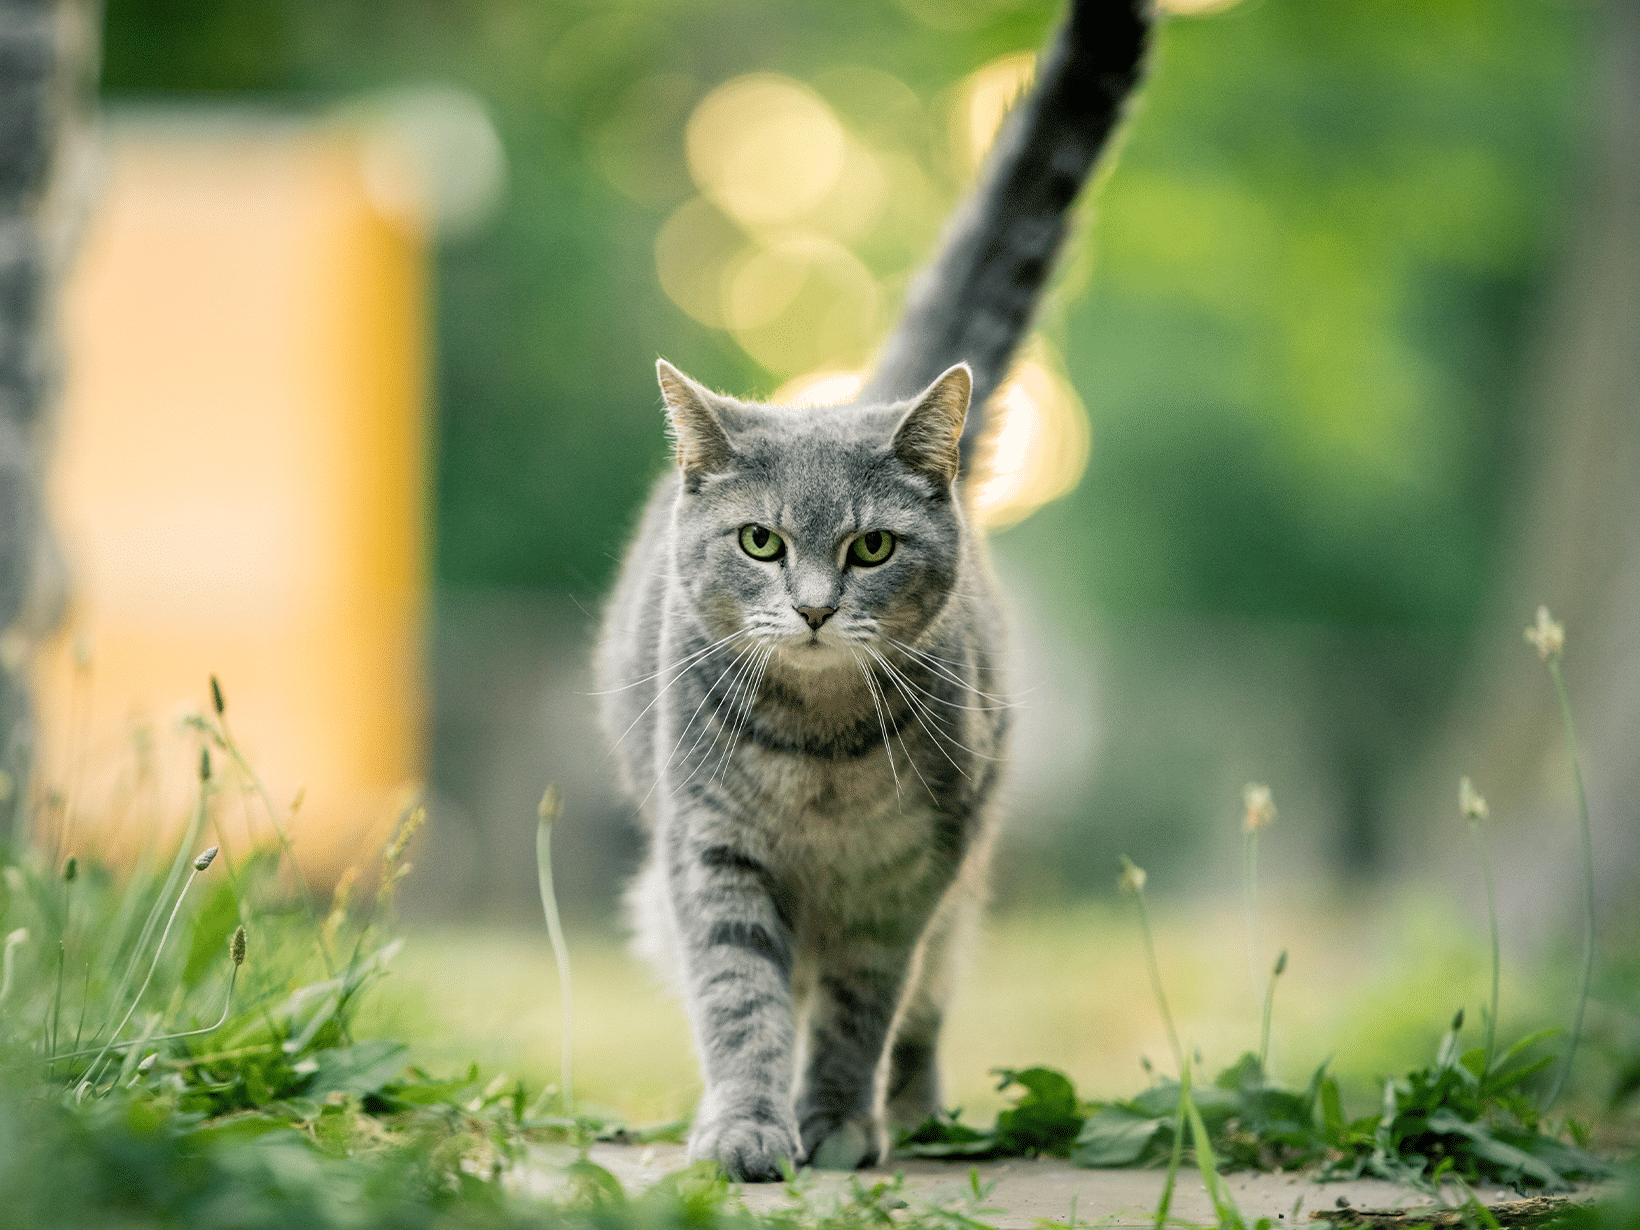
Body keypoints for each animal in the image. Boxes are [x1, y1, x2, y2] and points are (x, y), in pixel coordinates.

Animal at [596, 0, 1148, 1187]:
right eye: (760, 542)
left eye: (871, 548)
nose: (810, 606)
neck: (819, 758)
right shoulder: (709, 851)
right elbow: (740, 999)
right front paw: (747, 1128)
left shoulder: (909, 878)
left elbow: (863, 1006)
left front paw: (839, 1123)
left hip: (961, 893)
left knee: (928, 1004)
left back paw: (920, 1110)